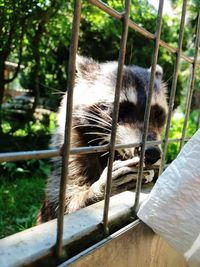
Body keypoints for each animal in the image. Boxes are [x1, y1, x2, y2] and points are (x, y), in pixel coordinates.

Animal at [38, 55, 169, 223]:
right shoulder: (68, 165)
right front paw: (96, 191)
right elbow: (63, 206)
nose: (152, 152)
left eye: (158, 113)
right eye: (122, 109)